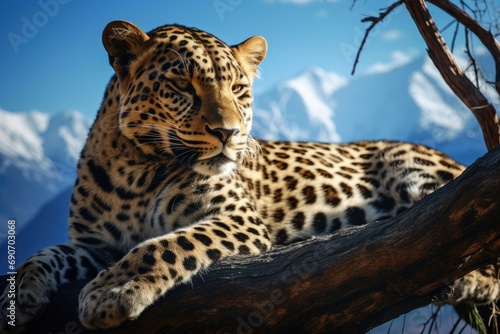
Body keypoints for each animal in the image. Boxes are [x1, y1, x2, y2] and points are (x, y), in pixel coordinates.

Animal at [1, 20, 498, 332]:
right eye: (182, 87)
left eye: (239, 89)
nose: (228, 132)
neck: (136, 171)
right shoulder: (97, 245)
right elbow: (45, 254)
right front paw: (22, 291)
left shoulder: (236, 218)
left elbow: (162, 245)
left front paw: (111, 292)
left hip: (414, 171)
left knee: (459, 235)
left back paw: (464, 278)